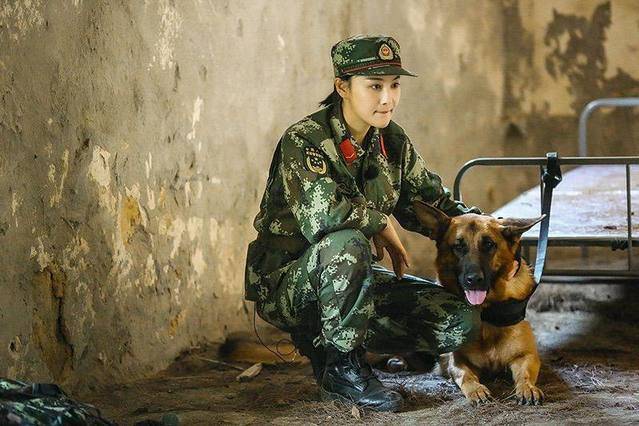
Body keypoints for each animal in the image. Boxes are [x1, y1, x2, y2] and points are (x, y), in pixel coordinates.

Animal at [416, 201, 544, 406]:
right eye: (458, 246)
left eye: (489, 245)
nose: (473, 280)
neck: (486, 312)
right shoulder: (458, 360)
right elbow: (465, 376)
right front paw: (476, 390)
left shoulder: (526, 355)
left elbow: (524, 374)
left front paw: (527, 388)